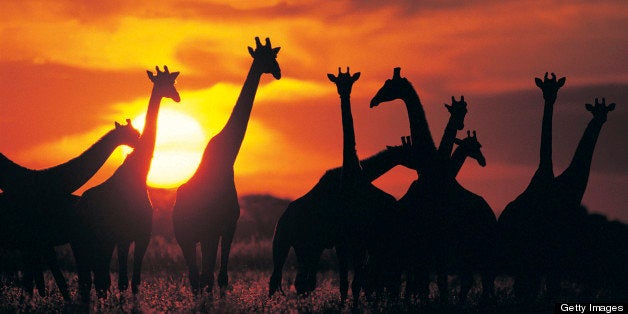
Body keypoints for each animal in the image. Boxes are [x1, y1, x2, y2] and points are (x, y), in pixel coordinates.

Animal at [71, 65, 180, 302]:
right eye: (165, 83)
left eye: (173, 82)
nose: (177, 97)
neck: (138, 175)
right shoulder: (126, 236)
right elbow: (123, 281)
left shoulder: (138, 237)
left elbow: (131, 281)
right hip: (89, 241)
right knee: (92, 278)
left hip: (94, 241)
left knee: (95, 278)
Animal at [172, 38, 280, 296]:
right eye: (267, 58)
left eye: (274, 56)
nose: (279, 72)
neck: (227, 158)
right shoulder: (221, 227)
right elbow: (216, 277)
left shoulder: (222, 228)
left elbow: (218, 277)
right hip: (193, 236)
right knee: (200, 276)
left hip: (192, 237)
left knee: (198, 277)